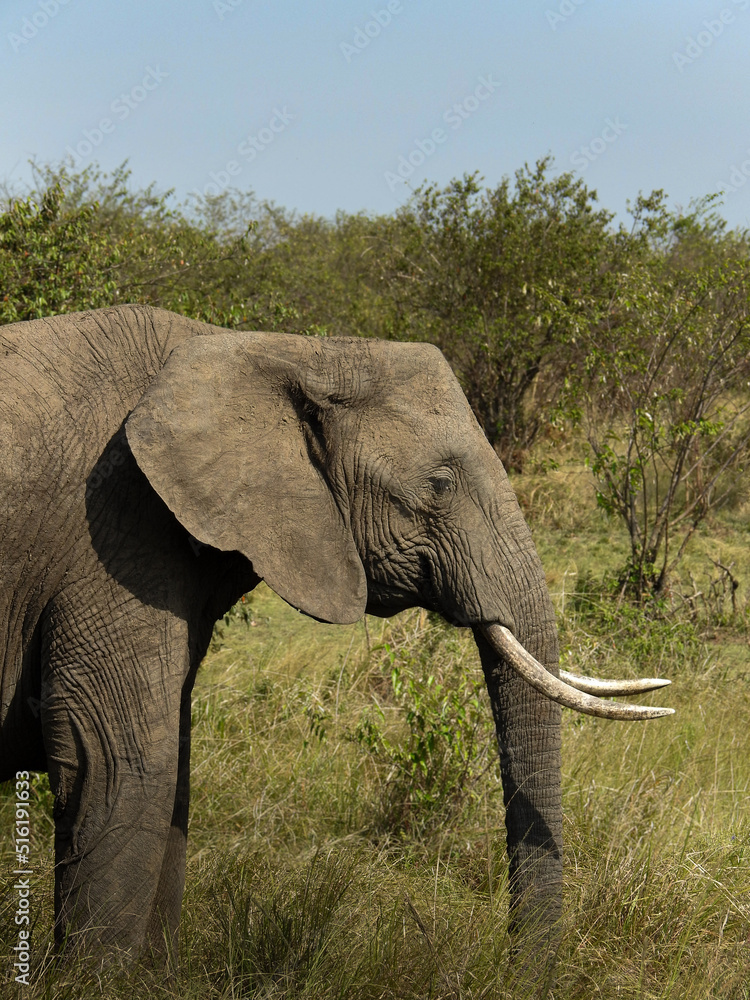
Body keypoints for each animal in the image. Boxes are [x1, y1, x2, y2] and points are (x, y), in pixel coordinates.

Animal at [0, 304, 673, 968]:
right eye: (439, 483)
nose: (516, 972)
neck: (280, 350)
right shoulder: (114, 540)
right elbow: (122, 761)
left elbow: (171, 776)